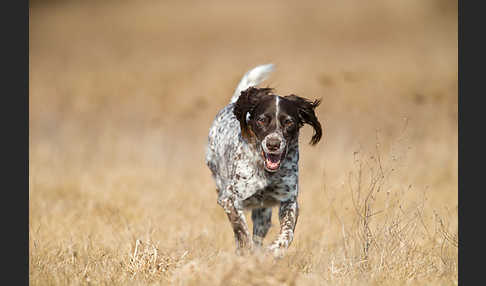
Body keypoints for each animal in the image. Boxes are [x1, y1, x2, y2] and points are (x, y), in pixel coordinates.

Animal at [205, 64, 322, 255]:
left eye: (288, 122)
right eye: (261, 120)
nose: (273, 144)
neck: (267, 172)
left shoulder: (288, 200)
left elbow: (287, 231)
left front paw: (275, 249)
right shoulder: (228, 199)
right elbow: (241, 230)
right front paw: (246, 252)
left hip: (263, 214)